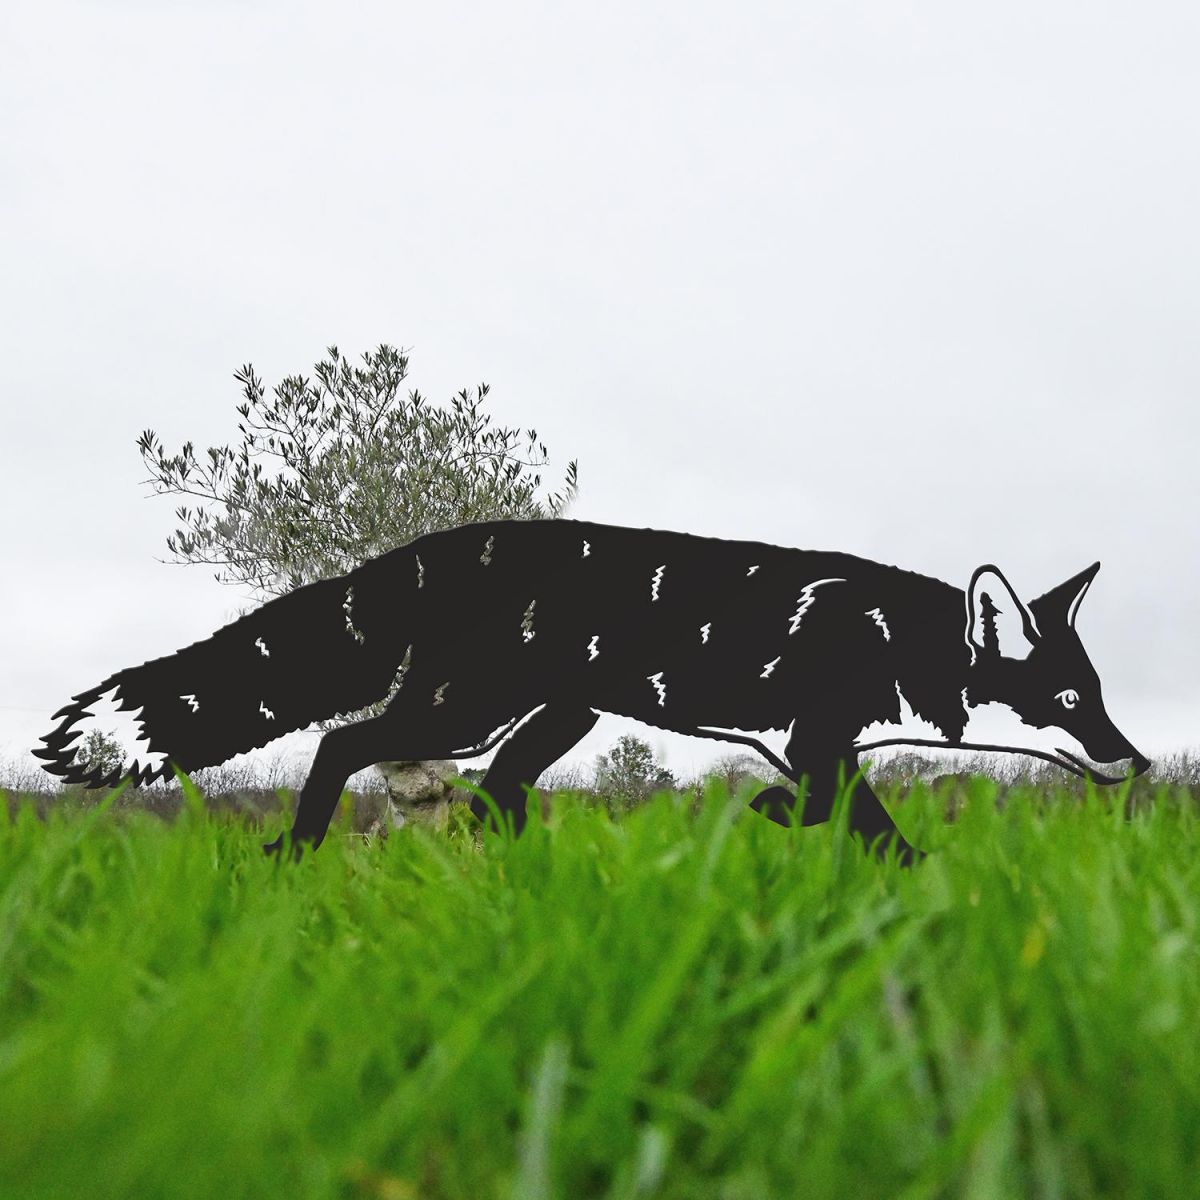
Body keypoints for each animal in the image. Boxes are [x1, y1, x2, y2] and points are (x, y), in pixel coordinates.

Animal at [36, 518, 1149, 863]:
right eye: (1070, 703)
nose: (1134, 760)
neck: (888, 642)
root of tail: (442, 544)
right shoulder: (815, 736)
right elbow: (872, 827)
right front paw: (920, 876)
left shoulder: (804, 745)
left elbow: (810, 803)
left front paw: (766, 816)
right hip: (468, 712)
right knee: (342, 745)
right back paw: (296, 852)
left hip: (553, 718)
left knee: (493, 796)